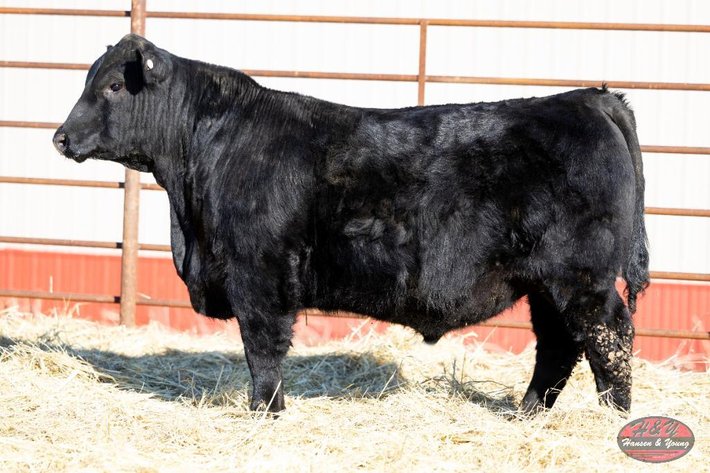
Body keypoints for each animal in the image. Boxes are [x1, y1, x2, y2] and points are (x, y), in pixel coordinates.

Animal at [54, 34, 649, 414]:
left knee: (608, 336)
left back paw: (613, 417)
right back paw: (527, 414)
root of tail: (587, 99)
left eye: (113, 86)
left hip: (581, 276)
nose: (60, 137)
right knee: (560, 345)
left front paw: (264, 412)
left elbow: (263, 348)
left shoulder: (259, 273)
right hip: (546, 283)